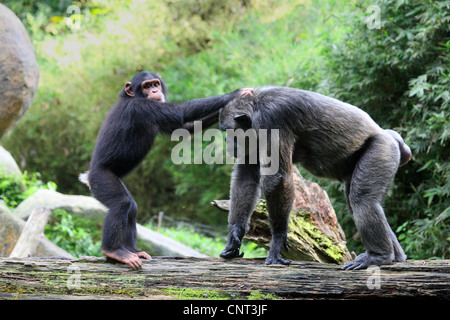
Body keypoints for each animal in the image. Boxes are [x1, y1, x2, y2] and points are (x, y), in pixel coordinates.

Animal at [80, 72, 253, 268]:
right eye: (146, 86)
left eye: (155, 84)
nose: (155, 90)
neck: (133, 97)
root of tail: (88, 177)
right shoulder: (142, 108)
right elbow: (179, 112)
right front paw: (236, 93)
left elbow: (184, 127)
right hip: (101, 178)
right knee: (121, 204)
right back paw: (115, 251)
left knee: (131, 208)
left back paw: (131, 251)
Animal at [218, 86, 412, 268]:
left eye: (229, 131)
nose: (227, 142)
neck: (256, 108)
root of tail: (394, 139)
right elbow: (246, 178)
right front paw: (235, 234)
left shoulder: (272, 120)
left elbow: (277, 179)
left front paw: (278, 240)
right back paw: (396, 257)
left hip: (381, 151)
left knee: (363, 200)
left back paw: (378, 256)